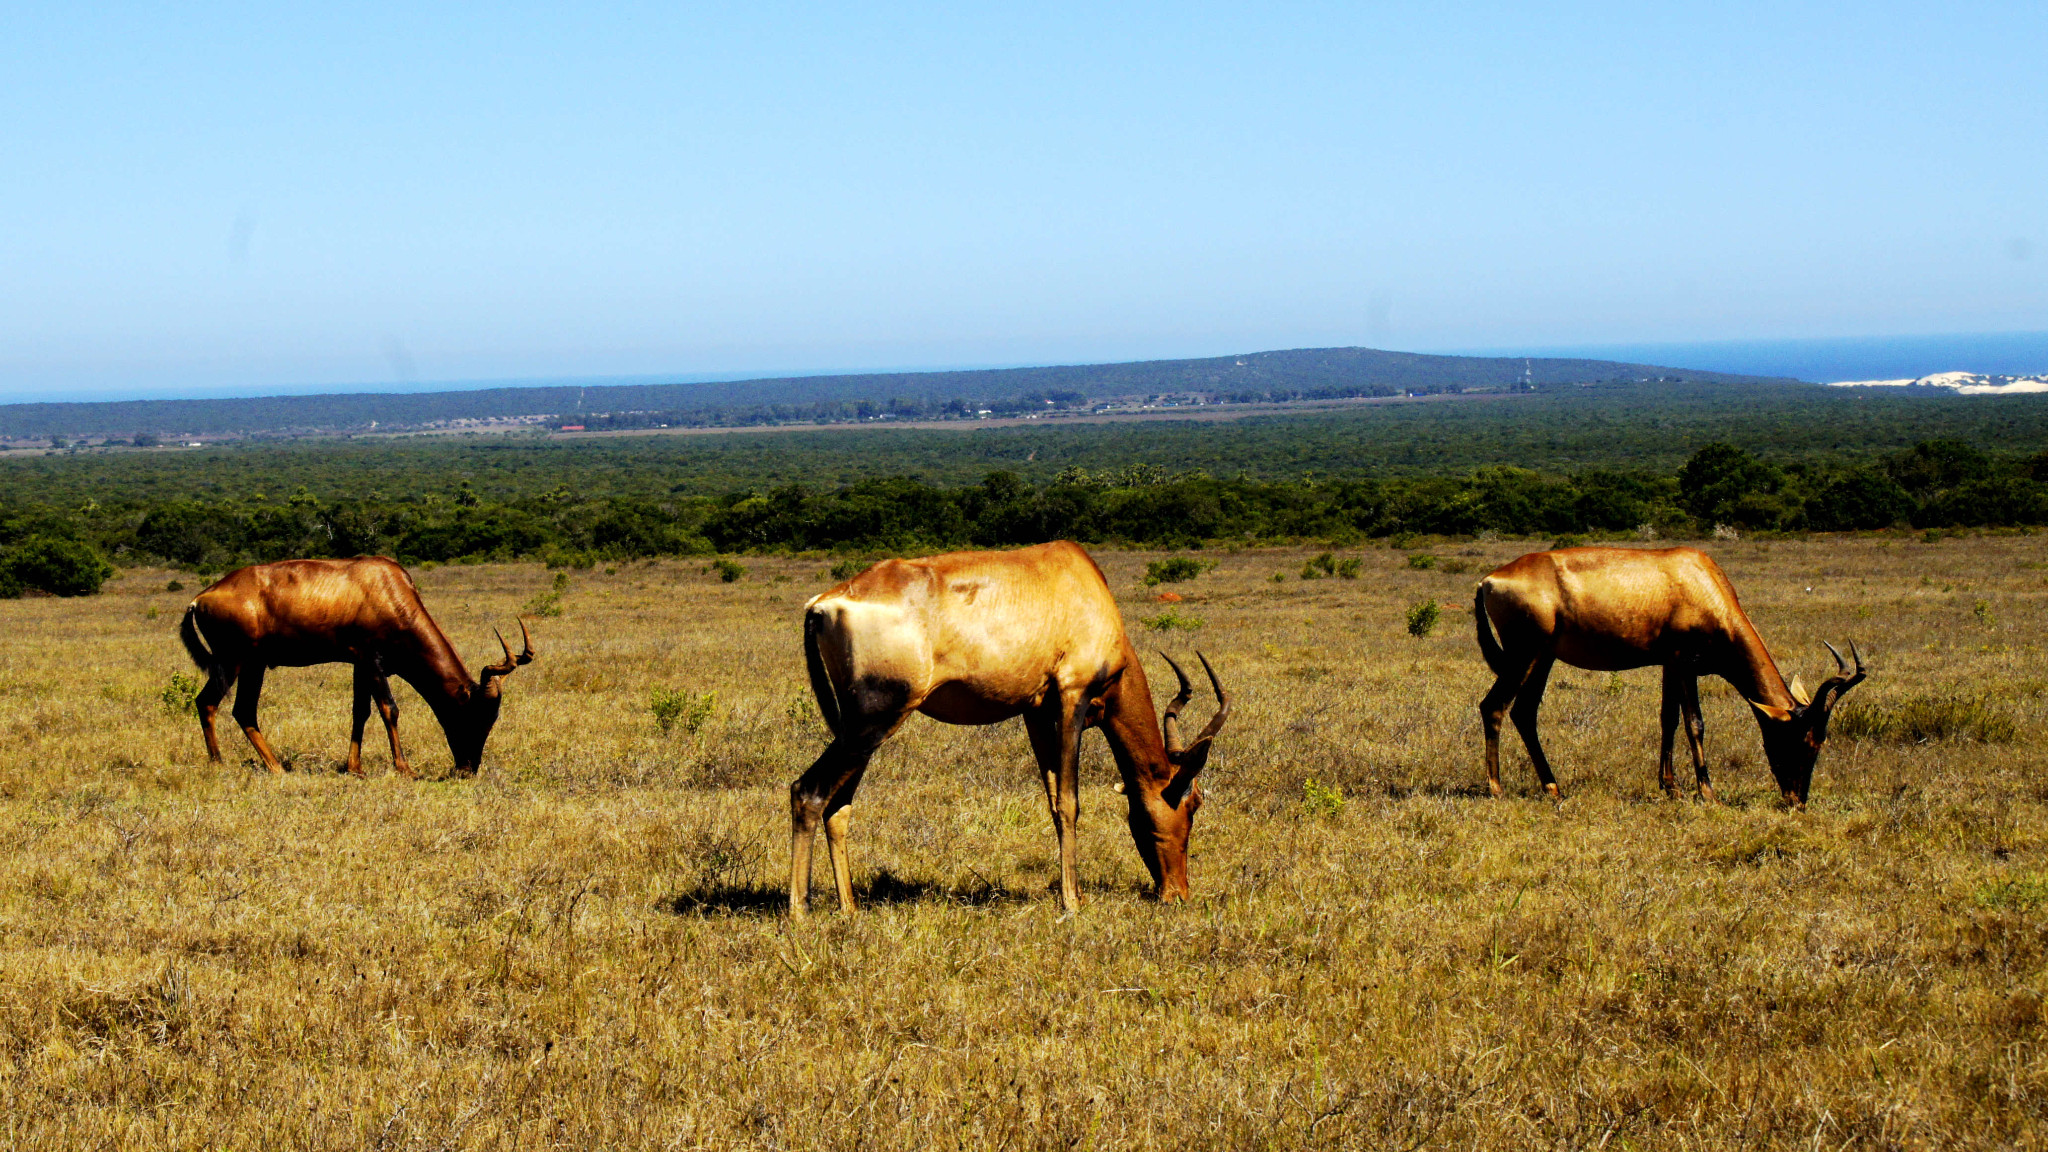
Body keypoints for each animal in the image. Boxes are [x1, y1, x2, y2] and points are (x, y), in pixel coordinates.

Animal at [179, 553, 536, 774]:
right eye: (475, 715)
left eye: (493, 718)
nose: (467, 769)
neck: (386, 587)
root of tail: (200, 598)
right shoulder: (371, 660)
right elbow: (390, 709)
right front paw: (404, 768)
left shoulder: (359, 664)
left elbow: (360, 712)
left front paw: (355, 768)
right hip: (232, 661)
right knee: (208, 702)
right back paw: (219, 764)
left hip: (254, 664)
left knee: (243, 711)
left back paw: (276, 767)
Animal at [790, 537, 1220, 914]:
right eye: (1192, 803)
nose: (1177, 894)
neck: (1080, 581)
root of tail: (823, 604)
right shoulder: (1072, 698)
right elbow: (1070, 801)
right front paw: (1073, 902)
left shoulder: (1037, 713)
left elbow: (1053, 801)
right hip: (875, 719)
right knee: (808, 791)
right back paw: (800, 911)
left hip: (859, 727)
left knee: (839, 804)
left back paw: (849, 908)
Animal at [1482, 541, 1867, 803]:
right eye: (1799, 739)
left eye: (1820, 741)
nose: (1796, 800)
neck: (1699, 579)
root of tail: (1489, 580)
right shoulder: (1685, 663)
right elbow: (1695, 722)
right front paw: (1707, 792)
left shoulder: (1669, 664)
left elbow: (1668, 719)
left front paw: (1671, 786)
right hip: (1524, 654)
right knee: (1494, 706)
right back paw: (1496, 788)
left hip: (1542, 657)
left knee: (1524, 712)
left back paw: (1553, 787)